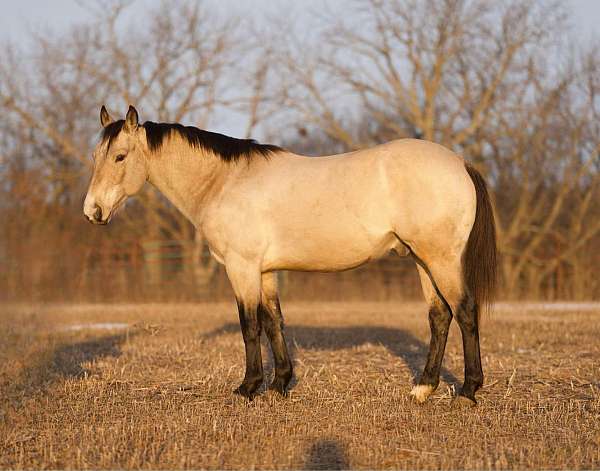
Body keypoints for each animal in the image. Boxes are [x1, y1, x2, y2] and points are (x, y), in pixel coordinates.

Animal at [84, 105, 496, 408]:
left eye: (120, 156)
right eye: (96, 157)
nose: (93, 212)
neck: (225, 182)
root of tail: (460, 163)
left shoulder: (242, 268)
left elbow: (250, 326)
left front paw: (248, 387)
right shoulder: (265, 272)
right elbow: (273, 323)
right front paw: (279, 384)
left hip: (440, 260)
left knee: (465, 312)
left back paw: (468, 391)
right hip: (423, 261)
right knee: (440, 316)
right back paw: (424, 388)